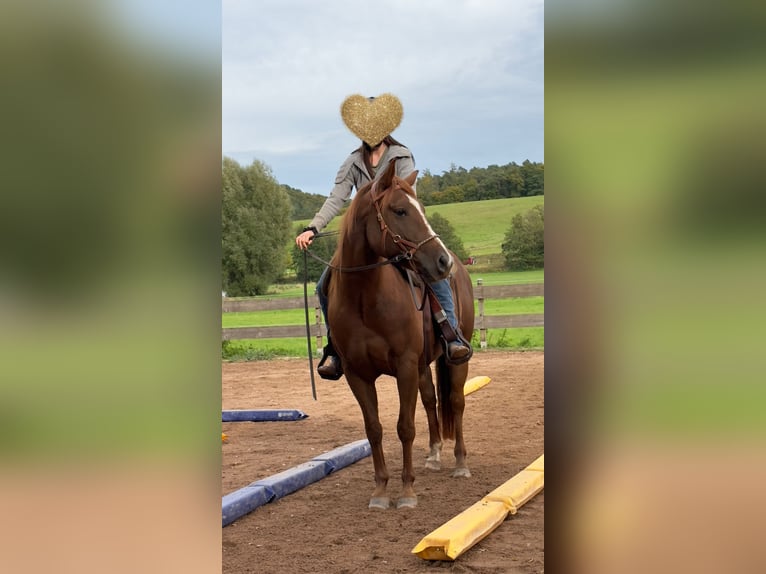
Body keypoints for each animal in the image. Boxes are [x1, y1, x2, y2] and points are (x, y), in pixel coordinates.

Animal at [325, 158, 475, 509]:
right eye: (400, 210)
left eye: (420, 207)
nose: (442, 261)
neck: (364, 298)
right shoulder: (357, 374)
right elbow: (374, 429)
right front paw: (381, 490)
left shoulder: (404, 366)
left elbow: (405, 427)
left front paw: (406, 491)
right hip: (422, 366)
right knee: (431, 400)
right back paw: (434, 455)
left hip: (456, 360)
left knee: (456, 401)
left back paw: (460, 463)